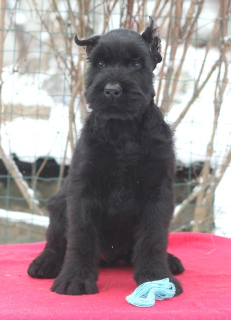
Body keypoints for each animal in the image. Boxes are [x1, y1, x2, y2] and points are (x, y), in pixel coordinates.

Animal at [28, 17, 185, 296]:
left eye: (137, 64)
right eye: (100, 63)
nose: (112, 90)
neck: (122, 131)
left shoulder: (158, 191)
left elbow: (153, 238)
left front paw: (156, 277)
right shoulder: (83, 190)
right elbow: (81, 236)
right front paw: (75, 280)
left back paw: (170, 261)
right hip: (58, 205)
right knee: (55, 243)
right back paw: (46, 263)